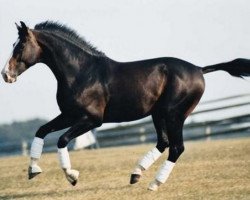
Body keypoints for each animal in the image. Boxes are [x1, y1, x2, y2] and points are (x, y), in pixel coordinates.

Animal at [1, 20, 250, 191]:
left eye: (20, 46)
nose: (6, 75)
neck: (82, 72)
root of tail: (199, 69)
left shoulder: (91, 120)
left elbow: (62, 140)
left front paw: (72, 176)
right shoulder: (69, 115)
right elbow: (41, 130)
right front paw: (33, 170)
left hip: (174, 115)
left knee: (176, 148)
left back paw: (154, 184)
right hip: (159, 114)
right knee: (164, 143)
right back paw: (136, 174)